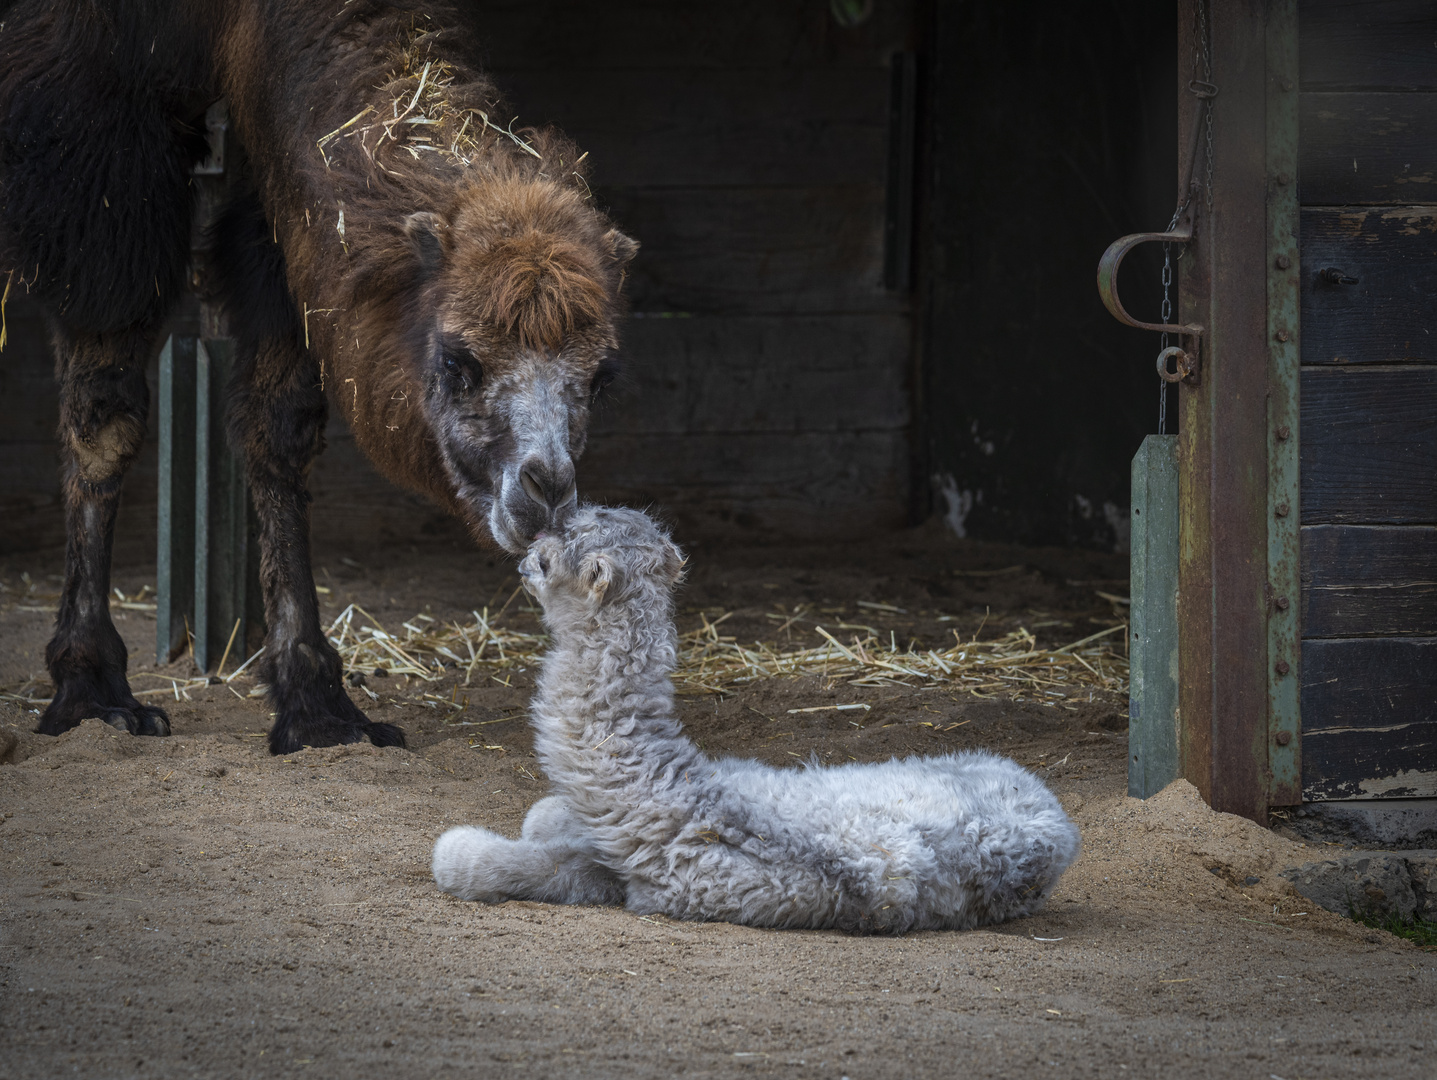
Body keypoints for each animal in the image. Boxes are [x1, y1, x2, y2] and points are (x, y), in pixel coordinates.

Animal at [0, 2, 640, 752]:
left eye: (600, 379)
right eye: (458, 361)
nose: (545, 492)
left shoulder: (284, 209)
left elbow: (277, 427)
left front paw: (316, 704)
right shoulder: (93, 126)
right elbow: (105, 411)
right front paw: (92, 690)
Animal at [431, 511, 1080, 930]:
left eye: (553, 551)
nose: (524, 551)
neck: (675, 794)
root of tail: (1059, 823)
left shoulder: (660, 883)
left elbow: (516, 863)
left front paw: (461, 850)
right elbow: (548, 825)